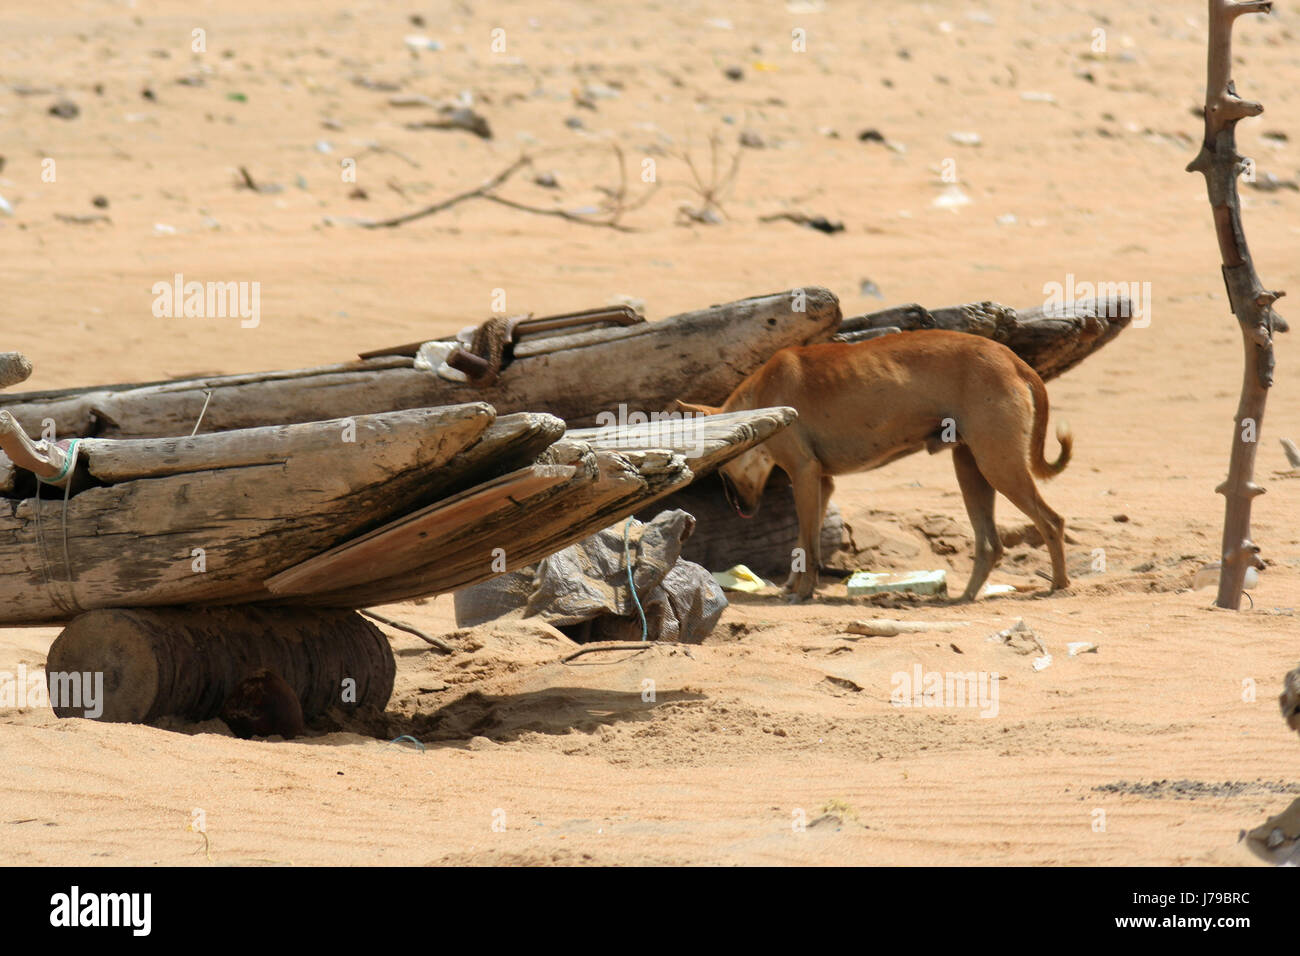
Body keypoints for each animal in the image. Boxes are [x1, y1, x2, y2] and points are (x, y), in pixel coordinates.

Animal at [676, 329, 1071, 598]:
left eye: (722, 469)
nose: (740, 510)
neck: (762, 397)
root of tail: (1012, 358)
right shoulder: (821, 483)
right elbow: (803, 543)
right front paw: (792, 585)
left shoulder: (804, 474)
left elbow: (809, 546)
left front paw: (803, 592)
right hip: (972, 468)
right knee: (991, 544)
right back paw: (965, 597)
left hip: (999, 467)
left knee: (1051, 522)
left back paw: (1059, 584)